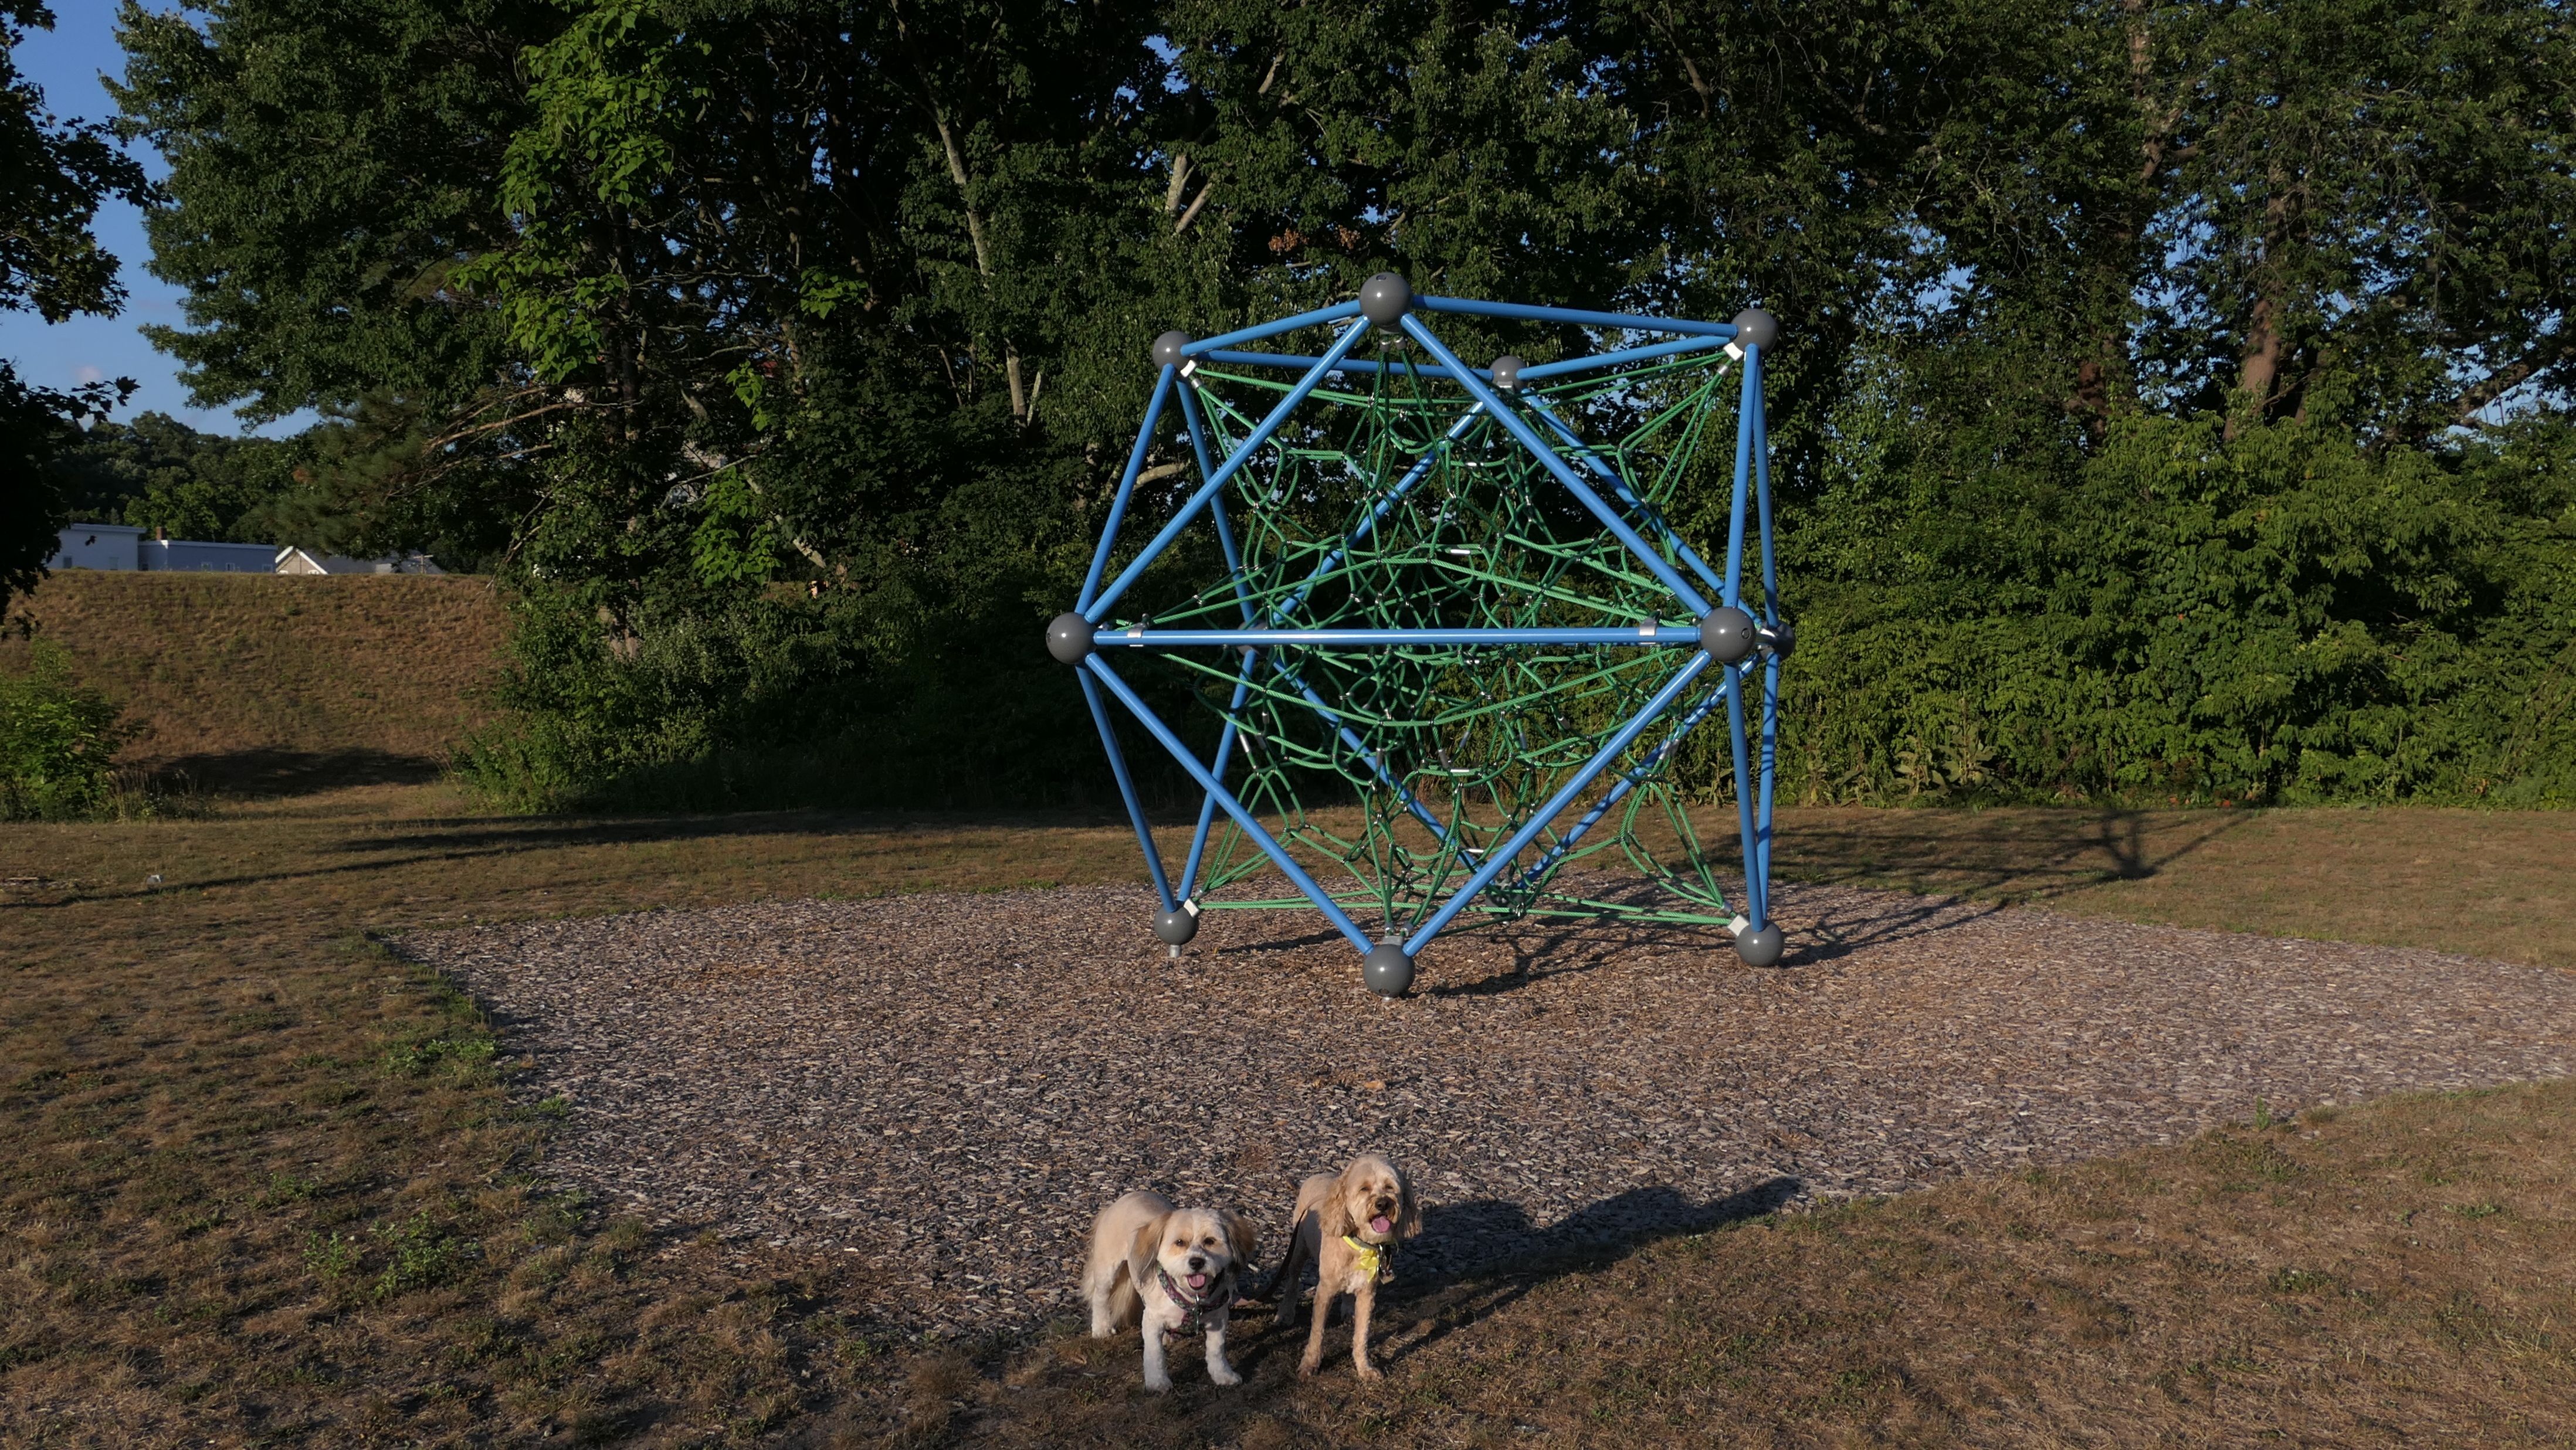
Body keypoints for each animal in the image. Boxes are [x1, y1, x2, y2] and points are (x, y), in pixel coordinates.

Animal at [1080, 1190, 1257, 1393]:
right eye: (1179, 1242)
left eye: (1210, 1241)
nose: (1196, 1262)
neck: (1193, 1298)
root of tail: (1124, 1198)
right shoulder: (1152, 1320)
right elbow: (1154, 1354)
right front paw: (1158, 1382)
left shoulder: (1218, 1318)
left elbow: (1216, 1351)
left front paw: (1223, 1375)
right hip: (1107, 1269)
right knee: (1100, 1298)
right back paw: (1101, 1329)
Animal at [1262, 1152, 1421, 1379]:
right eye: (1364, 1189)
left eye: (1390, 1187)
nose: (1383, 1204)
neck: (1359, 1246)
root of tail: (1317, 1175)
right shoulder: (1324, 1291)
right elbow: (1317, 1333)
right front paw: (1310, 1364)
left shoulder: (1367, 1294)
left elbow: (1362, 1336)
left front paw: (1365, 1368)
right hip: (1298, 1250)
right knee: (1293, 1281)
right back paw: (1286, 1312)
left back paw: (1347, 1310)